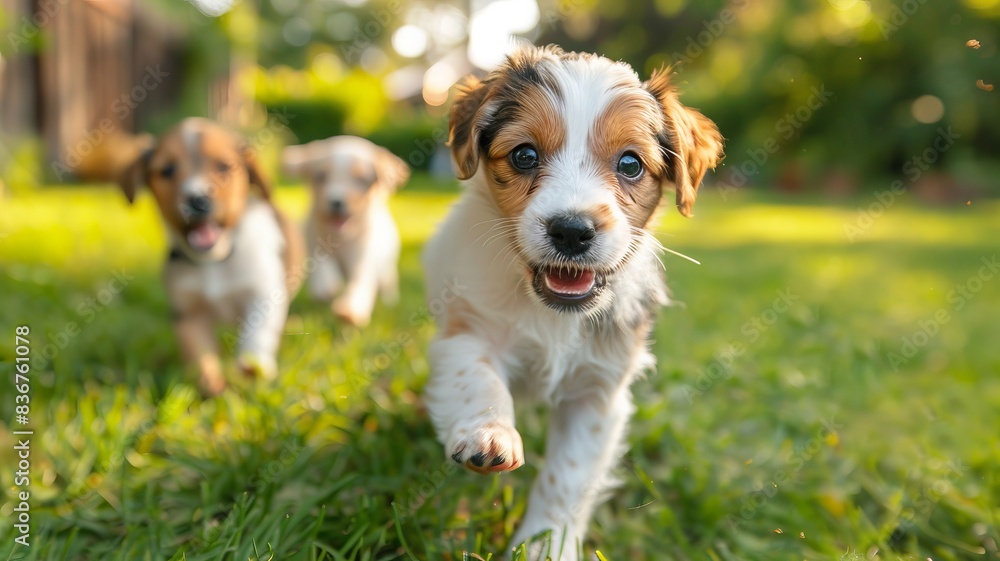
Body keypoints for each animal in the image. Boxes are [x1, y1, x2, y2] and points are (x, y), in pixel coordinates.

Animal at [119, 116, 304, 396]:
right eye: (167, 170)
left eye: (223, 167)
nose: (197, 199)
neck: (215, 261)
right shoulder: (187, 314)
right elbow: (199, 353)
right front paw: (209, 383)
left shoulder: (263, 294)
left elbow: (257, 333)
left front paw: (253, 365)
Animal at [280, 136, 408, 326]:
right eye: (320, 176)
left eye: (361, 179)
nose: (336, 201)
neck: (341, 237)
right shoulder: (313, 242)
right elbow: (321, 266)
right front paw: (325, 286)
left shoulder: (363, 259)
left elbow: (359, 283)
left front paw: (350, 311)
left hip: (387, 267)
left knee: (388, 281)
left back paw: (389, 300)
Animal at [424, 46, 728, 556]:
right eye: (525, 155)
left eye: (630, 164)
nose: (571, 230)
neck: (551, 313)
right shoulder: (467, 331)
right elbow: (478, 379)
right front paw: (489, 432)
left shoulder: (597, 392)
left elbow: (567, 478)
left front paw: (545, 545)